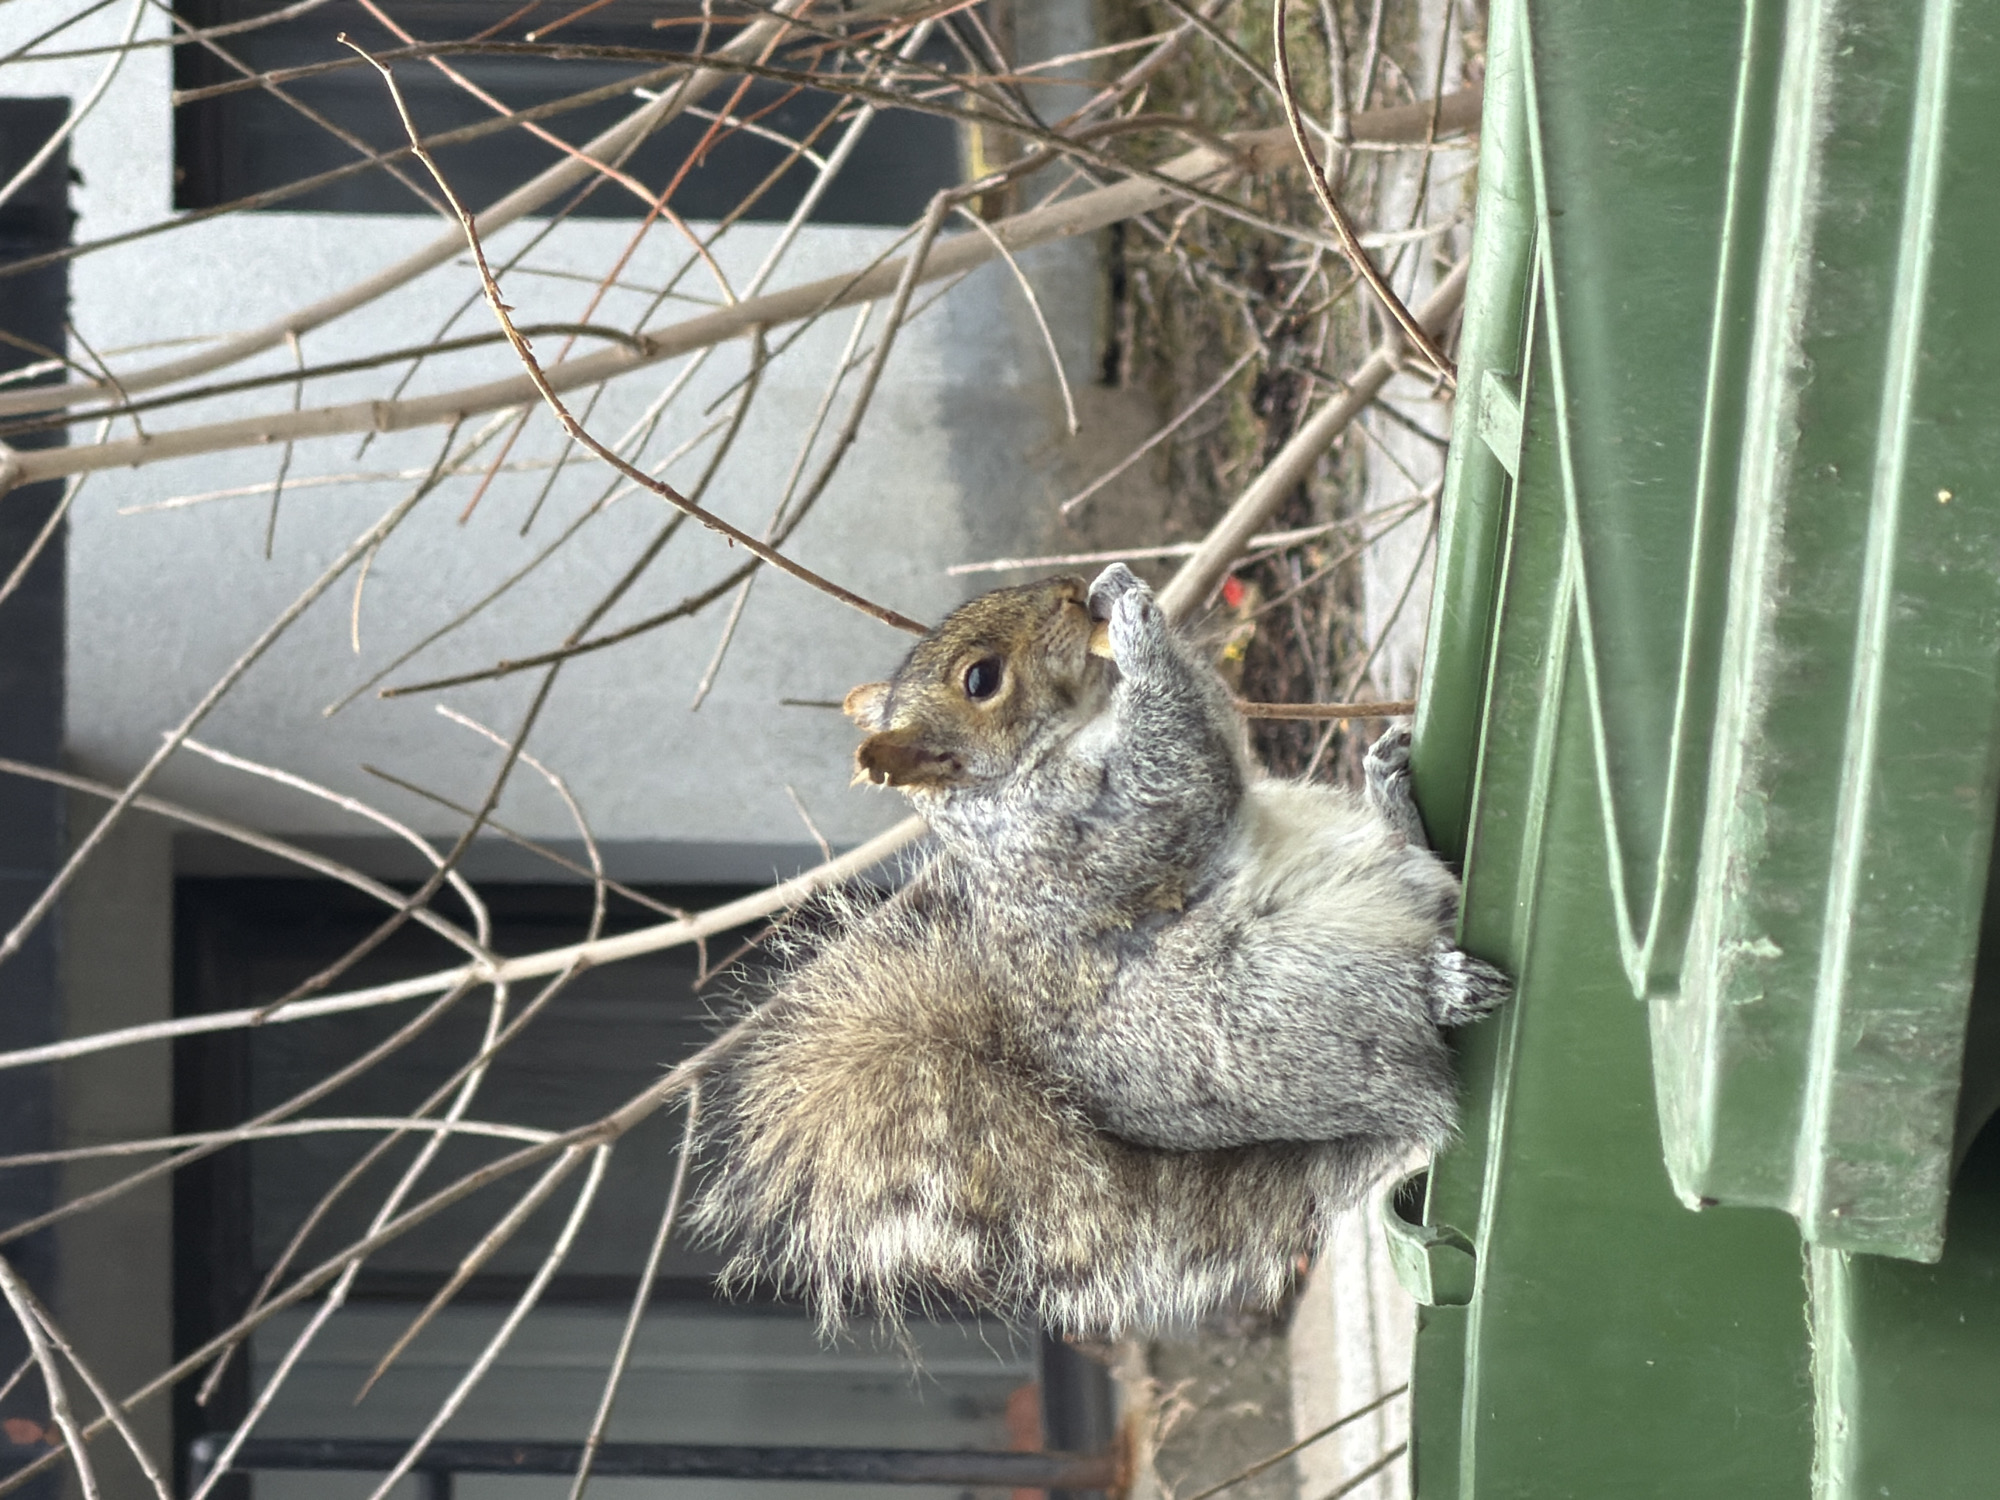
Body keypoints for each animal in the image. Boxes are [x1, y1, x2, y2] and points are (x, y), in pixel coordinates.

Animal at [690, 564, 1506, 1335]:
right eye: (981, 679)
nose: (1067, 589)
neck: (1025, 772)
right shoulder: (1080, 831)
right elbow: (1181, 779)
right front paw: (1138, 624)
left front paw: (1121, 597)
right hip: (1293, 1001)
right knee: (1410, 1021)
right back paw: (1442, 989)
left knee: (1420, 872)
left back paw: (1392, 798)